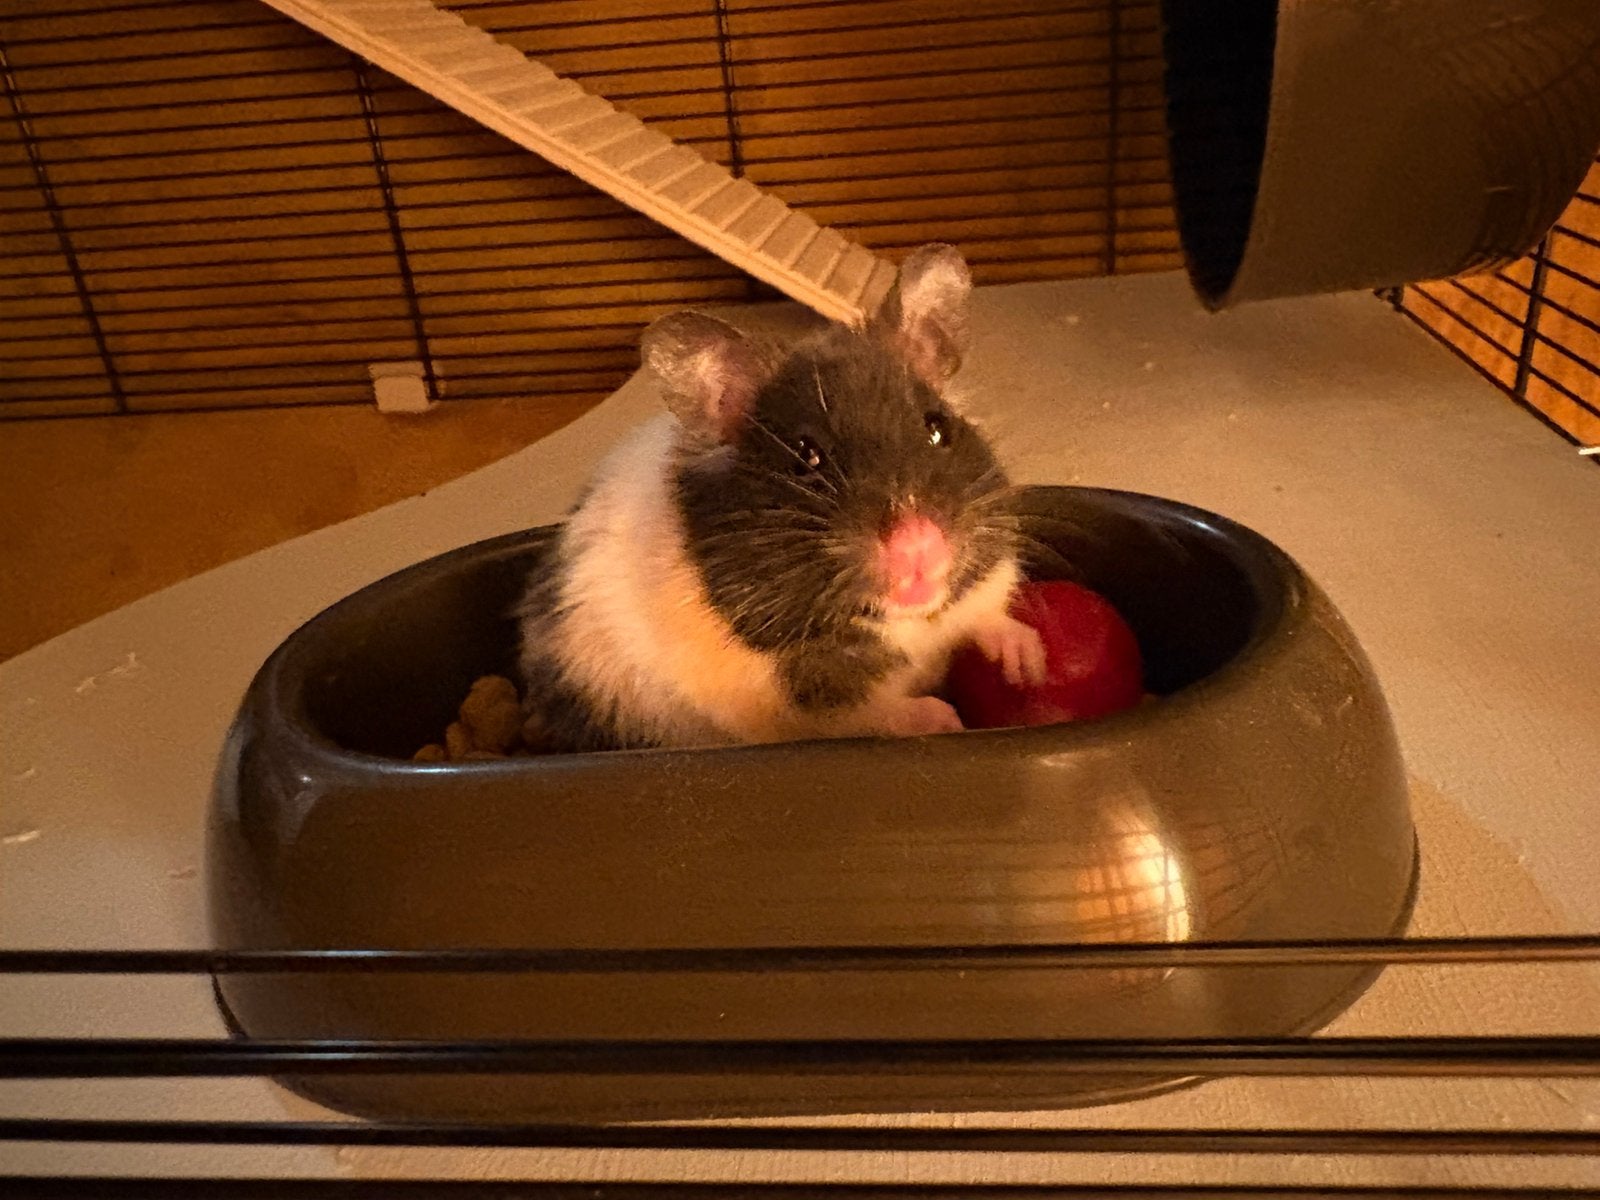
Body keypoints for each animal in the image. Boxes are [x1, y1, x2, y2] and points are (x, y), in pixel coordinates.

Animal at [515, 243, 1044, 752]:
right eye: (807, 457)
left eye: (937, 428)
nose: (919, 546)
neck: (907, 622)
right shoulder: (789, 698)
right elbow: (868, 713)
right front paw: (944, 719)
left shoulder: (984, 584)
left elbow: (988, 617)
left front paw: (1030, 663)